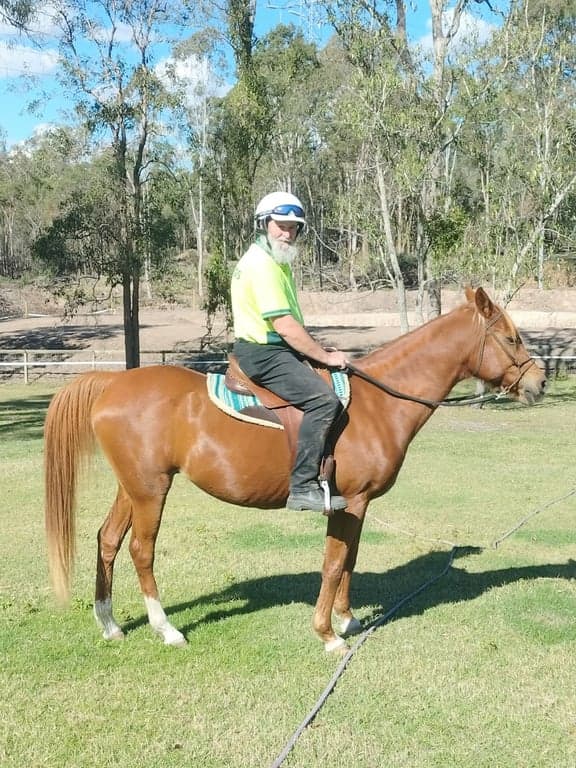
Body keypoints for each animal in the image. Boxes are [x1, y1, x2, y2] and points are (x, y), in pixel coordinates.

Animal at [44, 287, 546, 653]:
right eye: (511, 338)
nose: (540, 382)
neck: (377, 404)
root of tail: (112, 382)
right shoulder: (350, 501)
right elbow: (334, 562)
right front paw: (327, 634)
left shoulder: (356, 505)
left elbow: (350, 560)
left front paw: (347, 619)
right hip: (151, 491)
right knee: (141, 551)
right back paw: (165, 628)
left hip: (132, 487)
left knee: (108, 540)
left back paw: (110, 623)